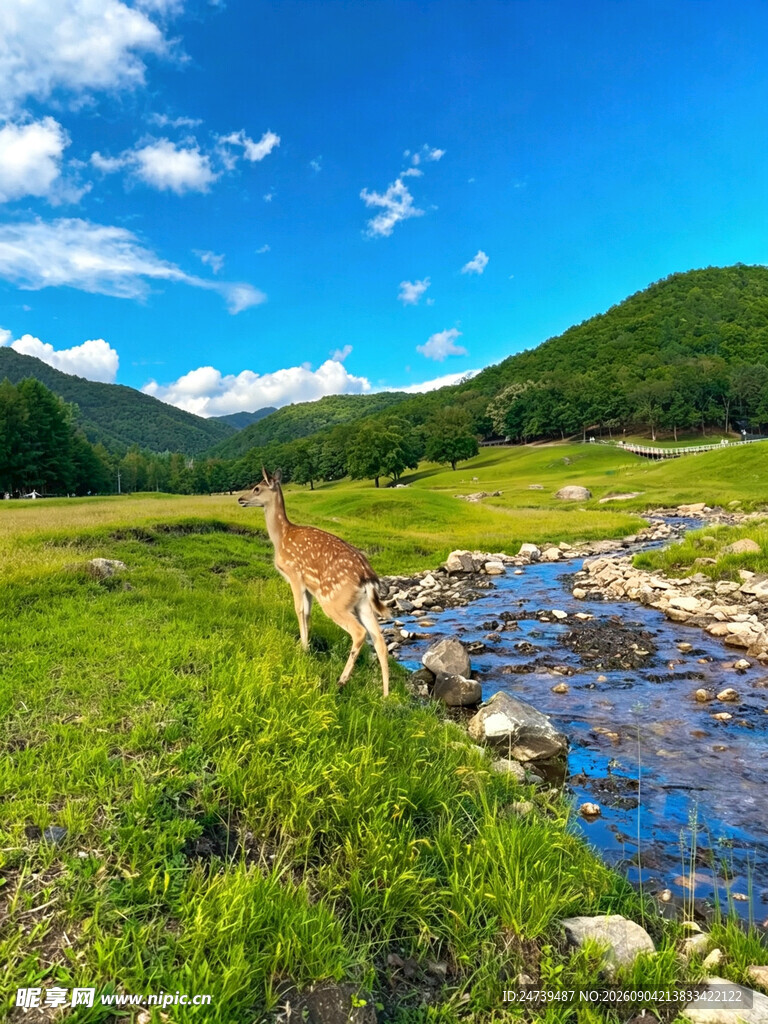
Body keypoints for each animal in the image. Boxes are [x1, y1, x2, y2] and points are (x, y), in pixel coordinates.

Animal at [238, 468, 391, 696]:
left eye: (256, 488)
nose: (240, 498)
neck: (280, 537)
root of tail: (367, 576)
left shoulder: (294, 574)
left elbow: (298, 609)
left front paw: (302, 648)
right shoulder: (309, 588)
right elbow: (308, 613)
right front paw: (307, 645)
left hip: (334, 600)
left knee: (360, 632)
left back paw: (342, 680)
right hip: (362, 604)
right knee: (380, 640)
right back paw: (385, 694)